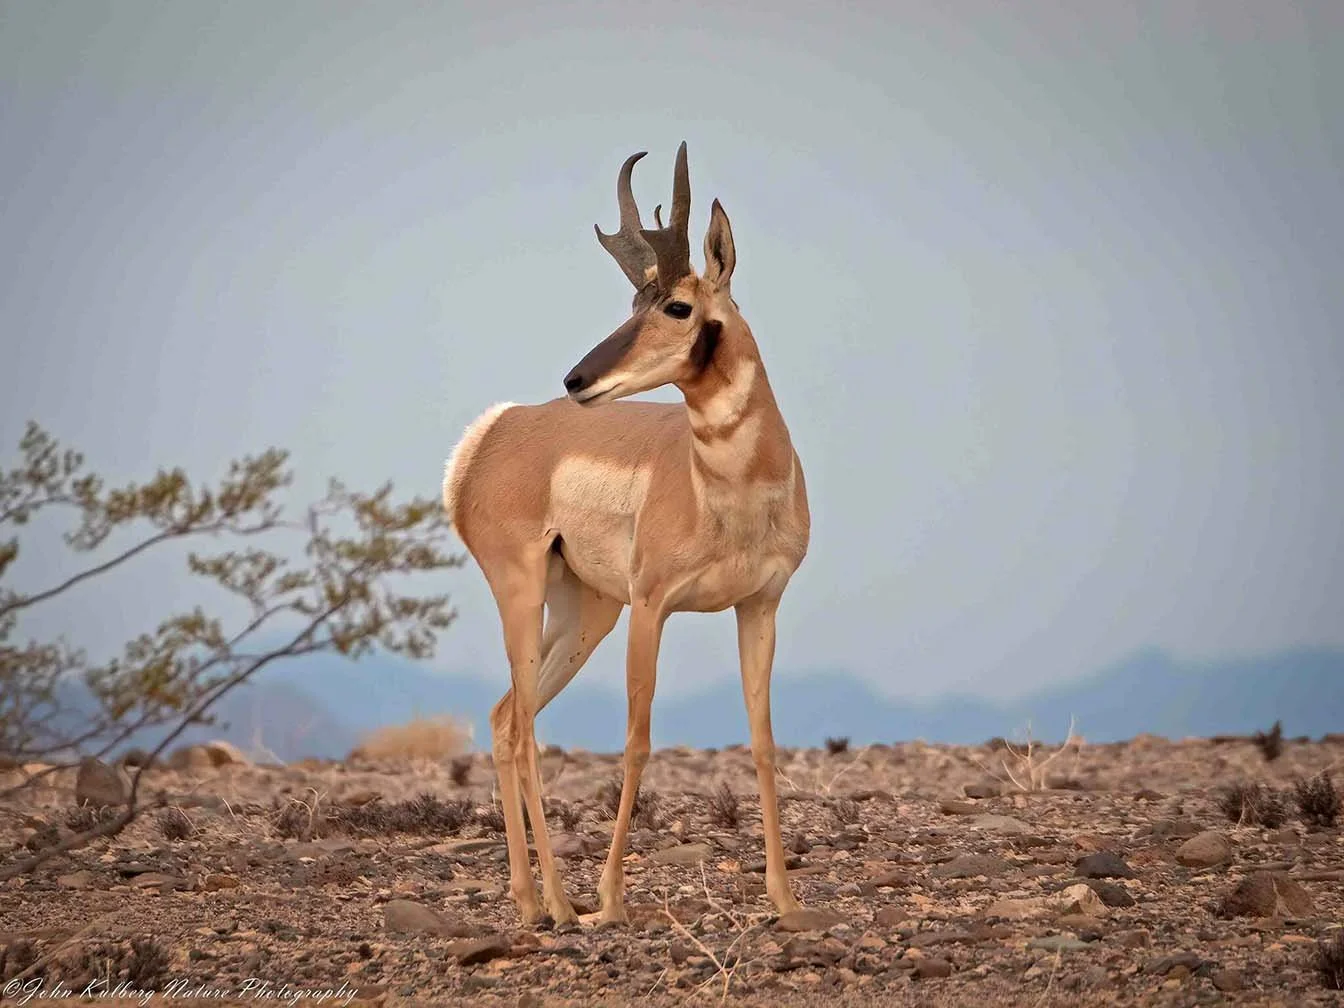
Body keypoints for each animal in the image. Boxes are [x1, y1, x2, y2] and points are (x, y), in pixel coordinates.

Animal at [442, 142, 810, 926]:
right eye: (633, 302)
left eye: (676, 304)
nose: (577, 379)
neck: (727, 489)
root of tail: (498, 428)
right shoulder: (653, 605)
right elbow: (638, 741)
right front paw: (611, 898)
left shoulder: (759, 607)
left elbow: (764, 741)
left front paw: (785, 896)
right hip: (527, 596)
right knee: (524, 730)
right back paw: (561, 904)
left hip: (585, 615)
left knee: (503, 718)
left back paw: (529, 901)